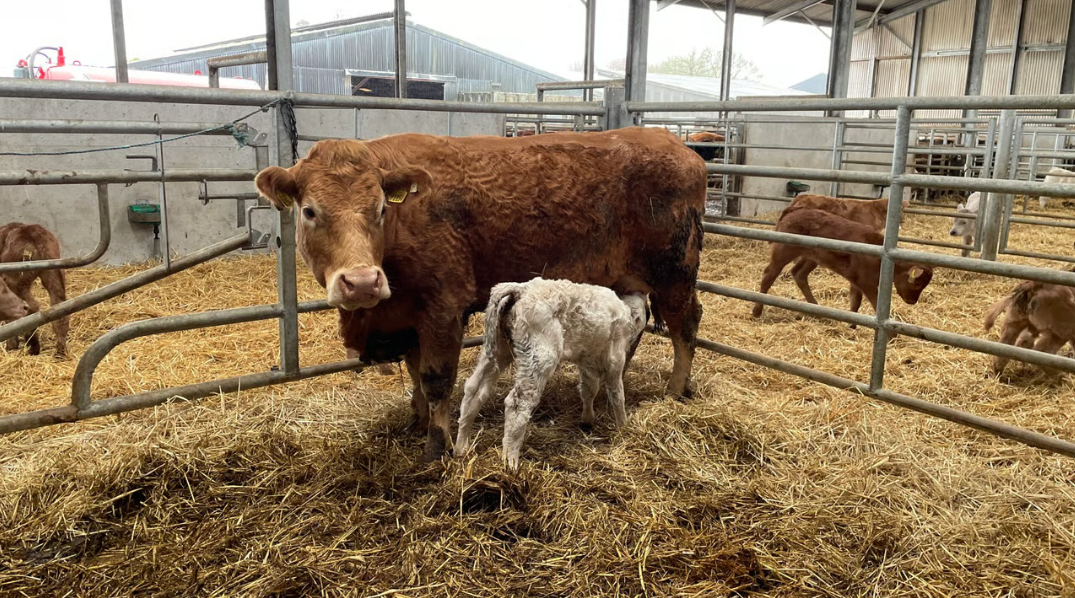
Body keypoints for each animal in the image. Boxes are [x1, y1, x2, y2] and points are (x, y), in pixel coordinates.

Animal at [0, 223, 68, 356]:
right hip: (54, 270)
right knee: (59, 304)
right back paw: (60, 351)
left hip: (16, 280)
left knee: (30, 306)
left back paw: (30, 346)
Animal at [454, 278, 649, 469]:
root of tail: (520, 289)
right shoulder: (615, 358)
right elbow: (617, 394)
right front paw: (623, 426)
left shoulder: (587, 360)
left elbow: (588, 389)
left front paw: (587, 419)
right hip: (539, 356)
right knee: (518, 403)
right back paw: (510, 461)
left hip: (497, 350)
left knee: (473, 391)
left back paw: (461, 447)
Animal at [752, 207, 933, 321]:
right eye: (917, 284)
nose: (912, 301)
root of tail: (795, 210)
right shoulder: (866, 282)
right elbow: (874, 303)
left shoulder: (856, 280)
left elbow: (856, 301)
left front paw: (851, 324)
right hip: (784, 250)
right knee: (769, 274)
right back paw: (757, 311)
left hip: (811, 257)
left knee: (798, 273)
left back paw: (816, 308)